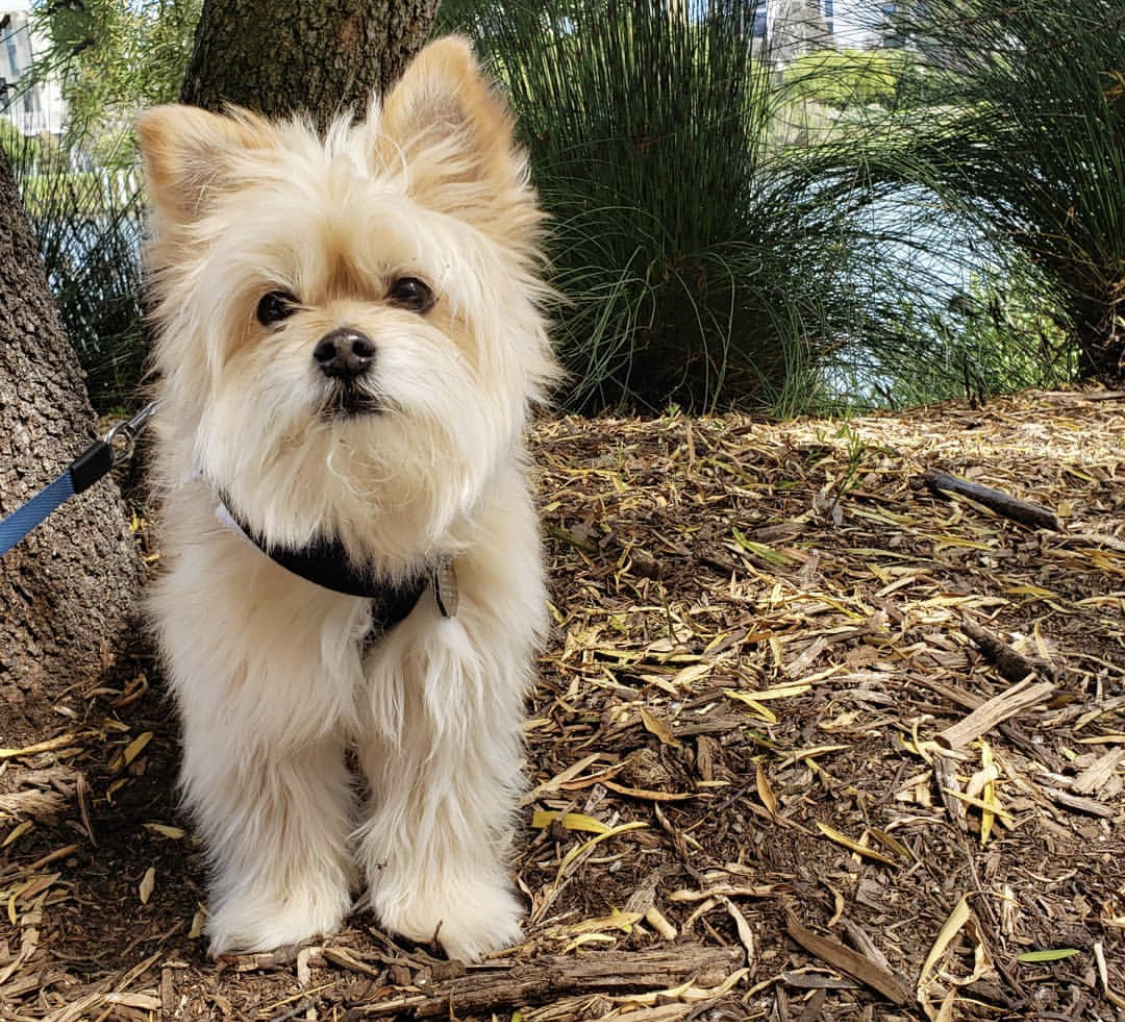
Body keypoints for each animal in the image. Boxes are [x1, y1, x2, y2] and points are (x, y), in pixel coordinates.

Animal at [136, 35, 558, 963]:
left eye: (411, 291)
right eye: (273, 306)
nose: (341, 348)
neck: (359, 510)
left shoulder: (446, 680)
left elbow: (439, 798)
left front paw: (441, 905)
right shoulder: (259, 688)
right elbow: (277, 804)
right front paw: (282, 911)